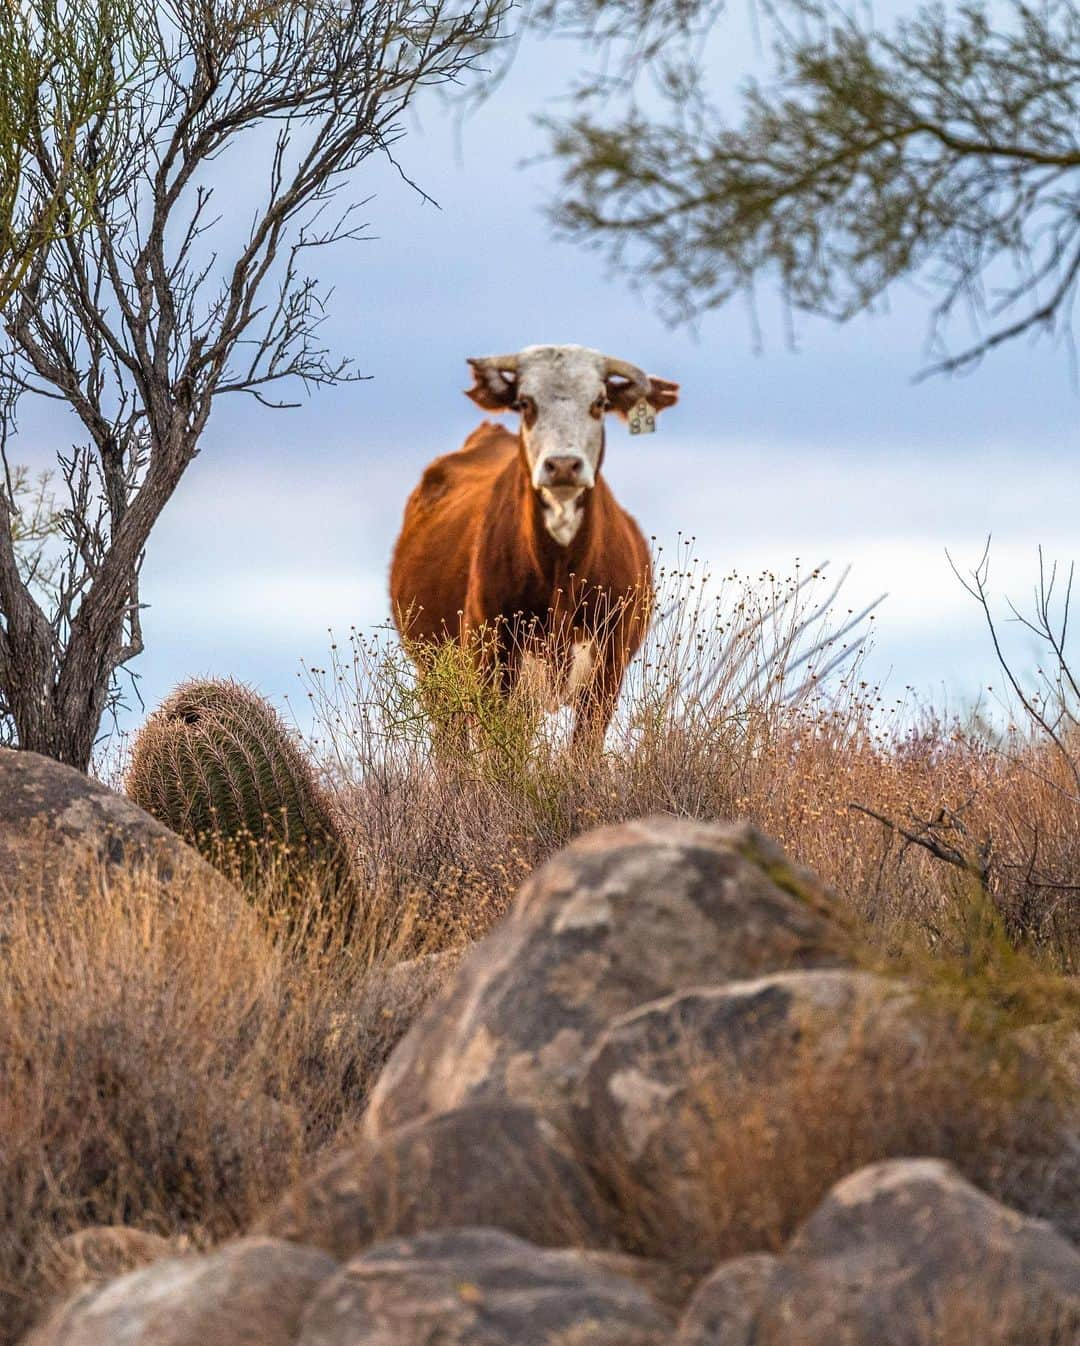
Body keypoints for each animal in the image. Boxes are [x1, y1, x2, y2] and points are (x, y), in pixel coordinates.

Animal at [387, 344, 673, 748]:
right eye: (524, 402)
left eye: (600, 402)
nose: (563, 465)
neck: (561, 572)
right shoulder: (490, 665)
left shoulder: (606, 675)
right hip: (438, 678)